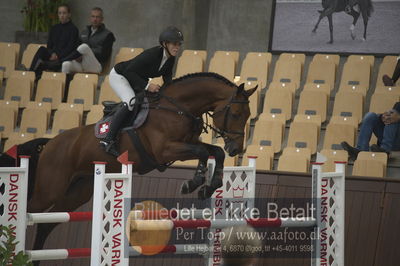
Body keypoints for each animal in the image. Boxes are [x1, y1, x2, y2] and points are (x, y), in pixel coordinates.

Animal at [0, 71, 256, 264]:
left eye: (248, 116)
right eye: (235, 113)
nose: (237, 149)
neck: (179, 107)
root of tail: (51, 142)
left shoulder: (187, 145)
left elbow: (213, 152)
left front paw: (208, 185)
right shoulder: (165, 150)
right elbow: (204, 152)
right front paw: (194, 183)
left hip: (78, 192)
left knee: (48, 223)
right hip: (50, 188)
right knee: (31, 210)